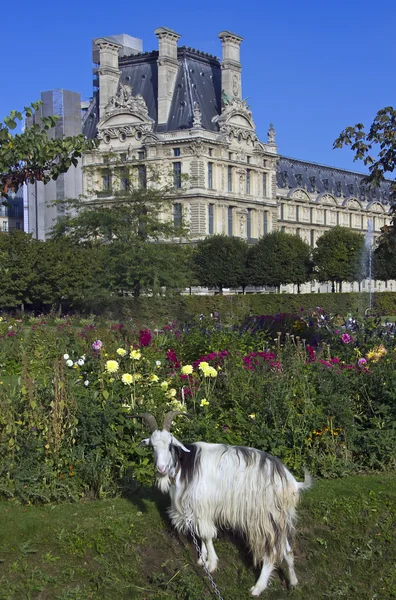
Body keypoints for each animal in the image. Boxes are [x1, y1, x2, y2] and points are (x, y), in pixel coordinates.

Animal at [136, 410, 312, 596]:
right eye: (152, 447)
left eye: (170, 445)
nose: (160, 468)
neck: (185, 464)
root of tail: (291, 483)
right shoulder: (196, 509)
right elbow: (199, 534)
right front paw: (202, 558)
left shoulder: (202, 505)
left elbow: (206, 535)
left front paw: (211, 563)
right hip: (279, 518)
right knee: (287, 550)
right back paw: (293, 582)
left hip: (264, 519)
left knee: (271, 552)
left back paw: (258, 587)